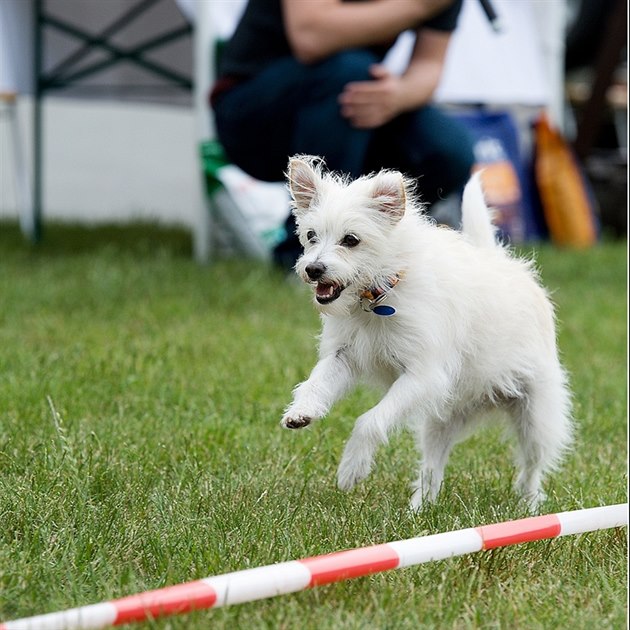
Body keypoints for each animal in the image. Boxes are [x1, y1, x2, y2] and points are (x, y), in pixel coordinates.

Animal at [282, 154, 572, 512]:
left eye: (351, 240)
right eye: (310, 235)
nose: (313, 269)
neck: (379, 297)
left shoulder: (423, 376)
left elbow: (370, 421)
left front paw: (351, 468)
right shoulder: (345, 357)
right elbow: (317, 382)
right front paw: (301, 410)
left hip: (535, 415)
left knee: (532, 466)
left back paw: (529, 507)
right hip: (440, 420)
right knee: (433, 466)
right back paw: (418, 509)